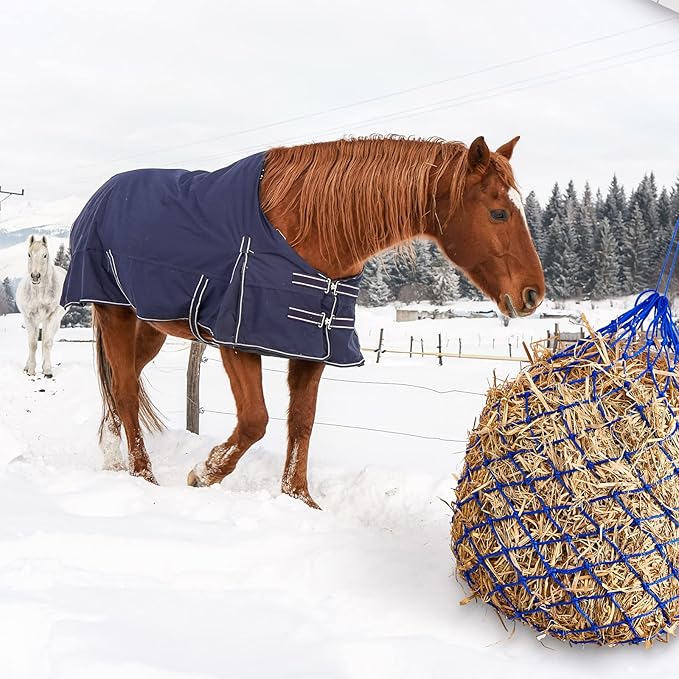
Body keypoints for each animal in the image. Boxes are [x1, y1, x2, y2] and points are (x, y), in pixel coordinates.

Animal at [16, 235, 67, 378]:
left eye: (45, 255)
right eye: (29, 254)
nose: (35, 276)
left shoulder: (52, 317)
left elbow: (47, 343)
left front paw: (48, 370)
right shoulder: (29, 318)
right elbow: (32, 344)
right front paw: (31, 370)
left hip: (53, 321)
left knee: (46, 340)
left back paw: (44, 367)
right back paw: (27, 366)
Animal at [61, 135, 545, 508]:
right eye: (499, 213)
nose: (533, 294)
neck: (309, 231)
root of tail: (101, 197)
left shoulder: (313, 346)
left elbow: (302, 421)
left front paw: (299, 498)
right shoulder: (239, 341)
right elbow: (255, 420)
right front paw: (204, 473)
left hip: (150, 327)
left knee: (120, 386)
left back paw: (114, 457)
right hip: (115, 314)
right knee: (125, 391)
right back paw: (142, 473)